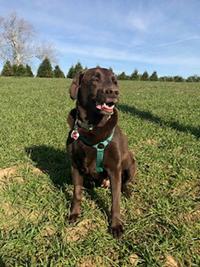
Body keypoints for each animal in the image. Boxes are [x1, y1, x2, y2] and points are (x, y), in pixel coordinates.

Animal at [67, 67, 136, 239]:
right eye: (95, 79)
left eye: (115, 81)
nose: (114, 92)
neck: (92, 127)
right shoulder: (75, 166)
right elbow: (77, 194)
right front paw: (74, 215)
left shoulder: (114, 169)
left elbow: (115, 201)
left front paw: (116, 225)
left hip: (132, 164)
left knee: (125, 183)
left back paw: (127, 191)